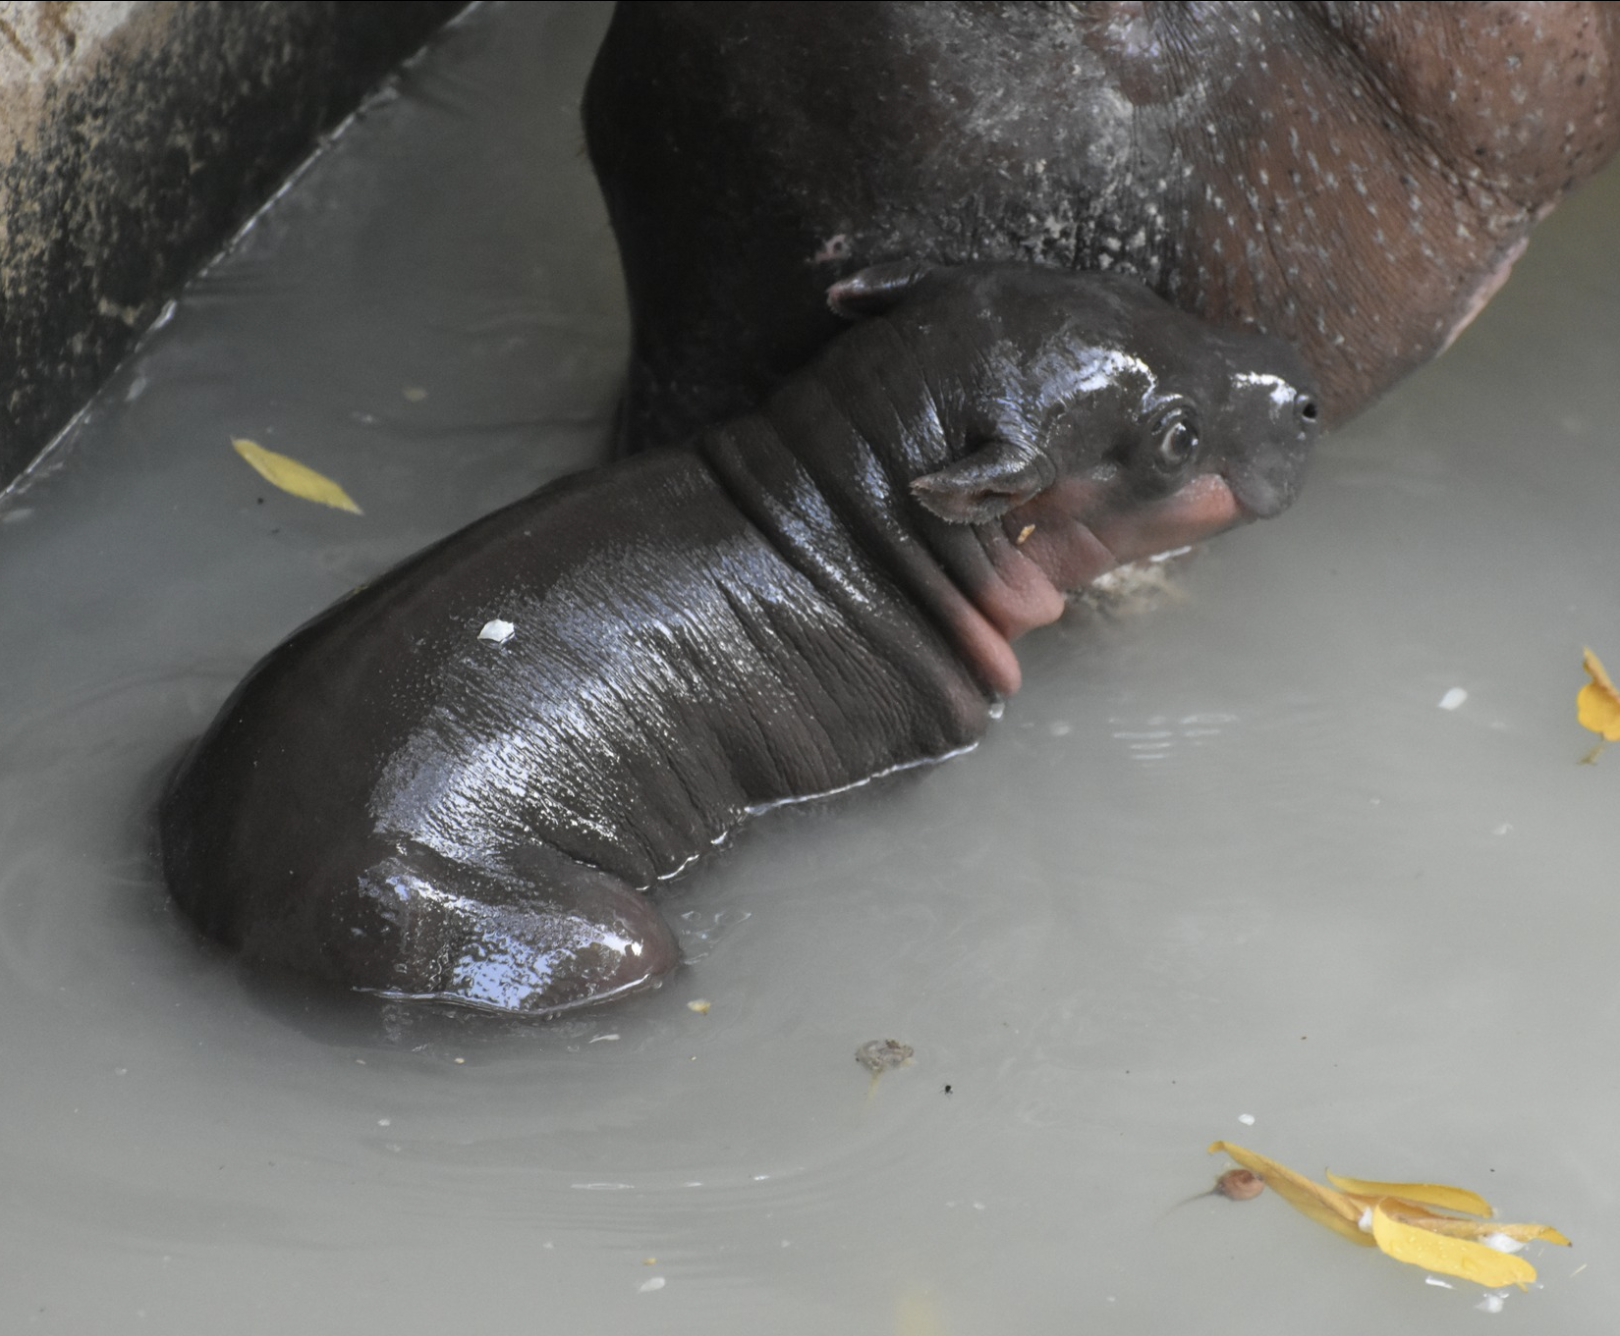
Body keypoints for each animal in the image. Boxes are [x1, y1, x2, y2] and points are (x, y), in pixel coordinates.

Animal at [159, 264, 1319, 1015]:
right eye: (1175, 438)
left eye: (1148, 294)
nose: (1301, 386)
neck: (842, 498)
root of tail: (246, 898)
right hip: (589, 939)